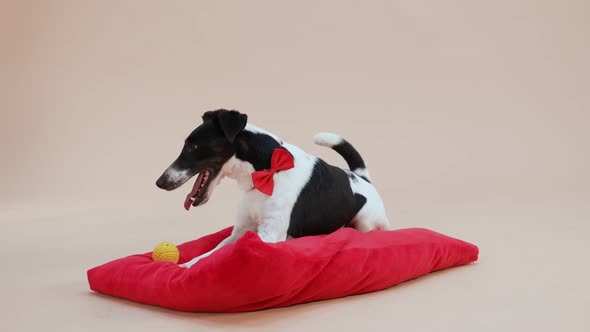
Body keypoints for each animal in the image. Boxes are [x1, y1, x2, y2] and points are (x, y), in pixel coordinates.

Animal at [156, 109, 394, 268]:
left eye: (193, 146)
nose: (159, 182)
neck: (264, 175)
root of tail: (361, 177)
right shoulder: (241, 231)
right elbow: (214, 251)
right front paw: (189, 264)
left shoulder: (269, 235)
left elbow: (222, 254)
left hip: (365, 222)